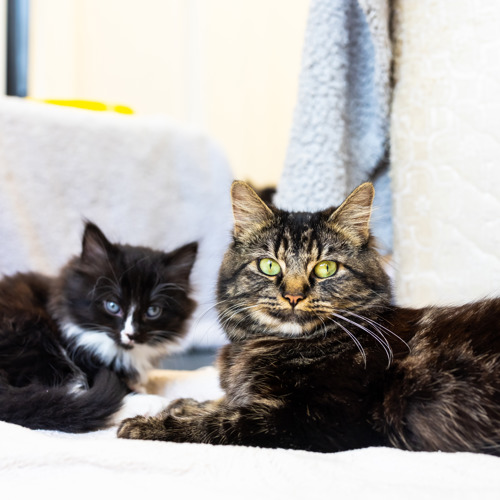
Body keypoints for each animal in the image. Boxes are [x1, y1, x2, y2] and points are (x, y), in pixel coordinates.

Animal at [118, 182, 500, 456]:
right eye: (269, 265)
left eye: (326, 268)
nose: (293, 295)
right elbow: (219, 403)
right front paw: (181, 405)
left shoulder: (320, 419)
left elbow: (226, 421)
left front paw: (147, 425)